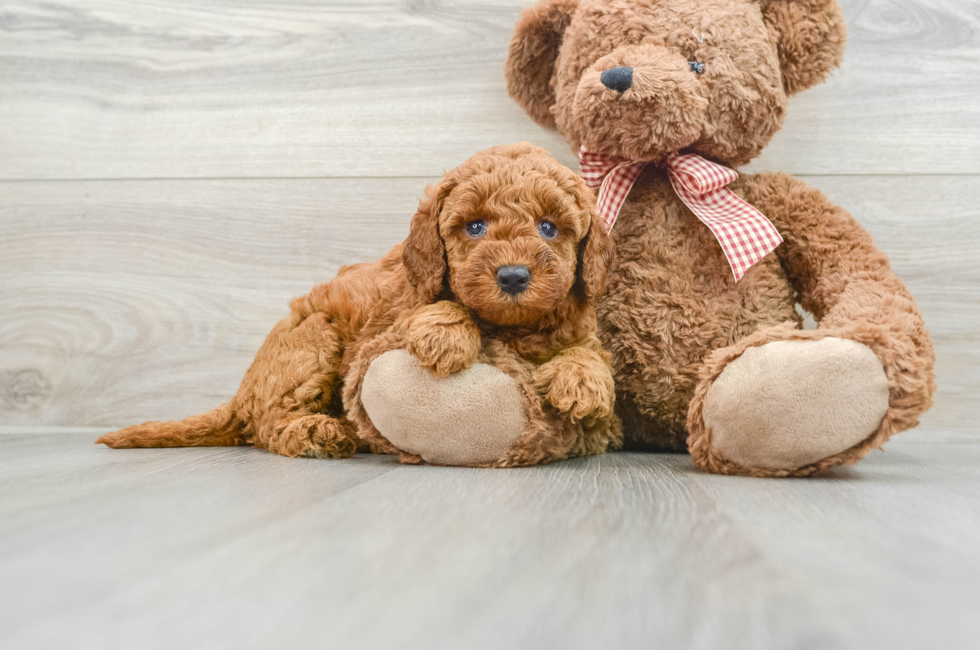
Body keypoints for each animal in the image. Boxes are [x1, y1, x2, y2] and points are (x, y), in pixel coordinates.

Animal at [99, 143, 620, 466]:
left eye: (549, 228)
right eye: (474, 227)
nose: (512, 276)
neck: (512, 325)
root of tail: (241, 395)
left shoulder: (581, 326)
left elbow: (590, 351)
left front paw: (583, 383)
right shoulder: (391, 315)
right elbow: (428, 313)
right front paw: (446, 334)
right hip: (315, 339)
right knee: (269, 425)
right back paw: (318, 433)